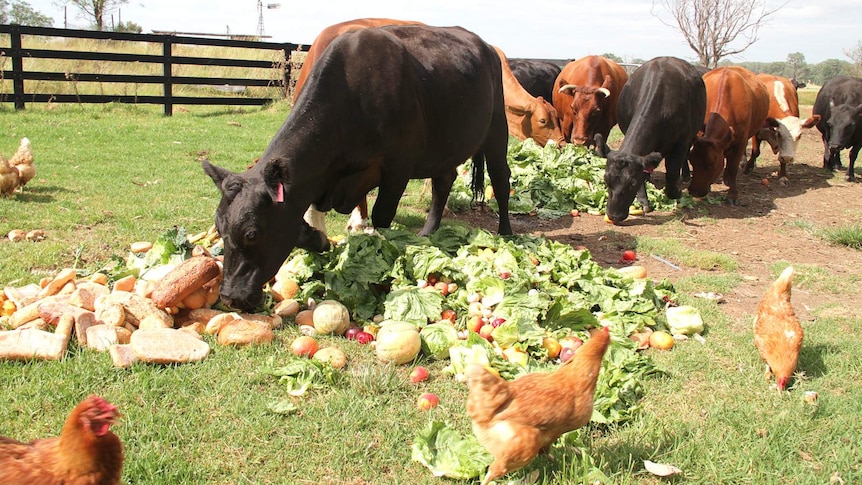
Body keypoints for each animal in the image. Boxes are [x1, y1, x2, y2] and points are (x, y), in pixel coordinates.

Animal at [202, 25, 513, 310]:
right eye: (218, 225)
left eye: (252, 233)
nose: (229, 297)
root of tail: (484, 44)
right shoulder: (319, 180)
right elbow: (310, 218)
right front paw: (318, 239)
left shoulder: (398, 166)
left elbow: (382, 215)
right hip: (444, 144)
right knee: (444, 180)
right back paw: (428, 232)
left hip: (497, 125)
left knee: (500, 179)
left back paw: (506, 233)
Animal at [600, 56, 707, 223]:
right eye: (606, 179)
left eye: (632, 183)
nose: (613, 216)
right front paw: (644, 201)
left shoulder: (682, 141)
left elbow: (672, 172)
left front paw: (676, 192)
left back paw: (685, 176)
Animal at [688, 66, 773, 204]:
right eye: (692, 161)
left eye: (711, 165)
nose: (694, 191)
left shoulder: (741, 141)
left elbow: (733, 168)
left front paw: (732, 194)